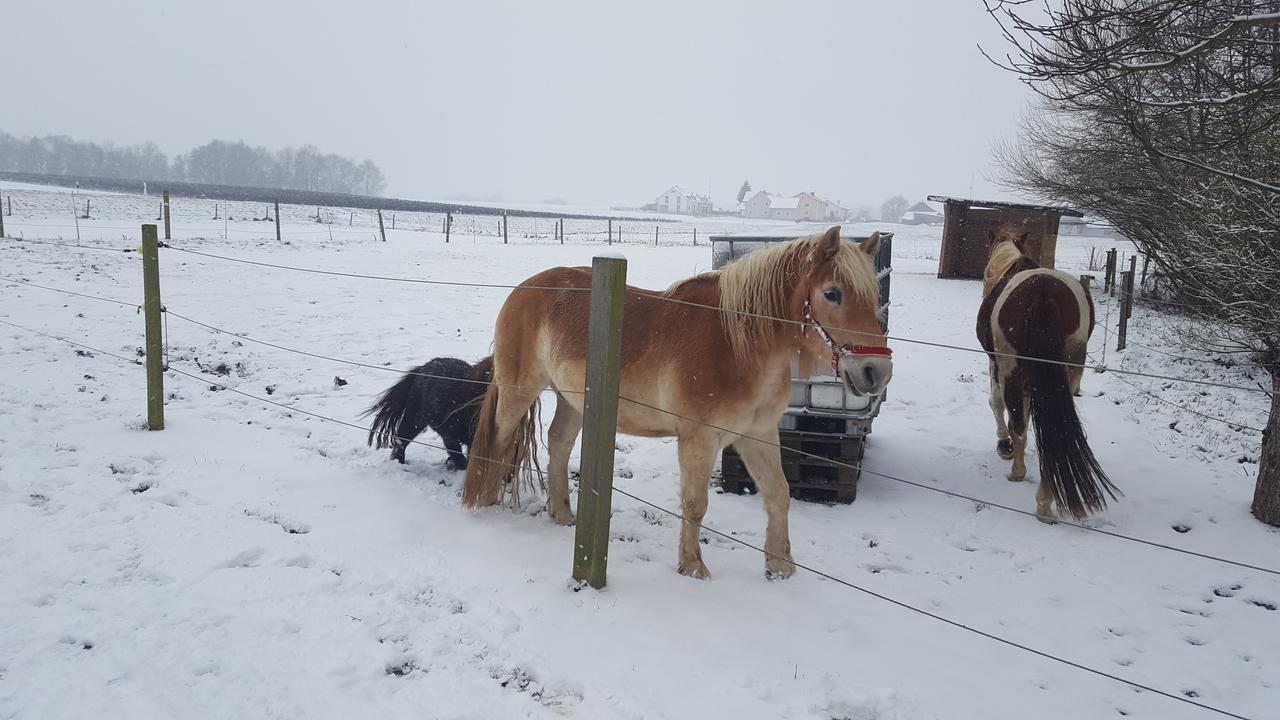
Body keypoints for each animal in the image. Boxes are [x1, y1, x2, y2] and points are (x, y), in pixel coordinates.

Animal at [460, 228, 890, 576]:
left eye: (874, 296)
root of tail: (523, 290)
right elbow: (695, 503)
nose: (876, 372)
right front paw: (693, 566)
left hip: (574, 400)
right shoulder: (699, 439)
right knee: (498, 440)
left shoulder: (758, 434)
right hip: (519, 389)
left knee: (559, 443)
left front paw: (781, 567)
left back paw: (564, 514)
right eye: (832, 294)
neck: (736, 344)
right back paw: (486, 503)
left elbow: (778, 494)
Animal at [972, 229, 1116, 520]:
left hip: (1013, 372)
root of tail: (1044, 293)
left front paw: (1004, 446)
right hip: (1067, 374)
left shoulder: (996, 364)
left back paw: (1020, 476)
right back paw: (1046, 499)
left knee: (1017, 422)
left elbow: (997, 404)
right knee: (1054, 432)